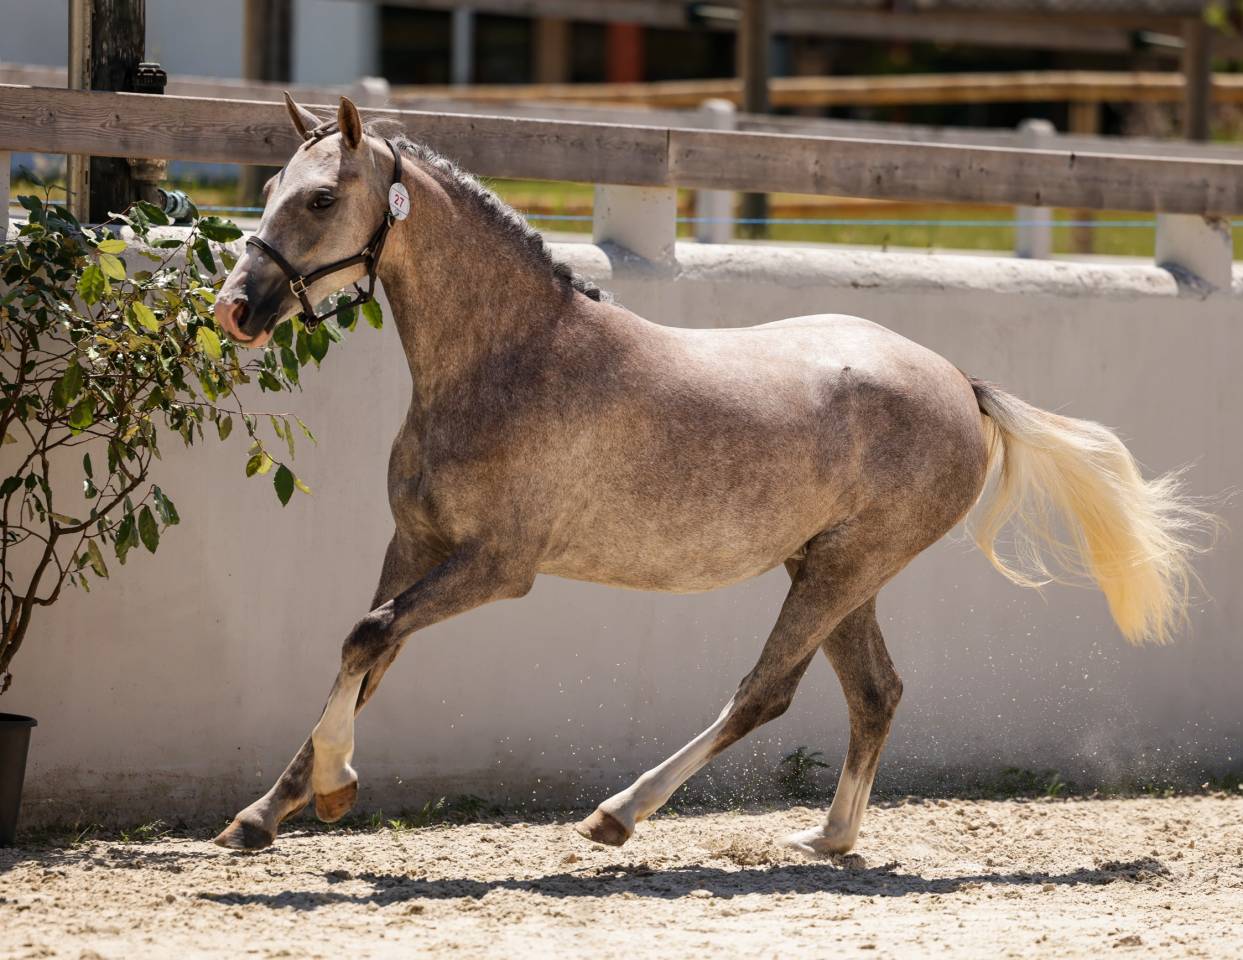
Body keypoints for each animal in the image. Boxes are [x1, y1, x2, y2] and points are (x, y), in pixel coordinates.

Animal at [211, 94, 1207, 855]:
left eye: (321, 198)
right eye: (268, 189)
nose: (237, 310)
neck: (507, 358)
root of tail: (959, 383)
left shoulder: (496, 567)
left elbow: (366, 637)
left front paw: (330, 788)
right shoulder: (414, 545)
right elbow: (364, 656)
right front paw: (266, 813)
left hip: (843, 570)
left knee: (764, 692)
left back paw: (618, 815)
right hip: (834, 570)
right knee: (874, 693)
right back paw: (825, 839)